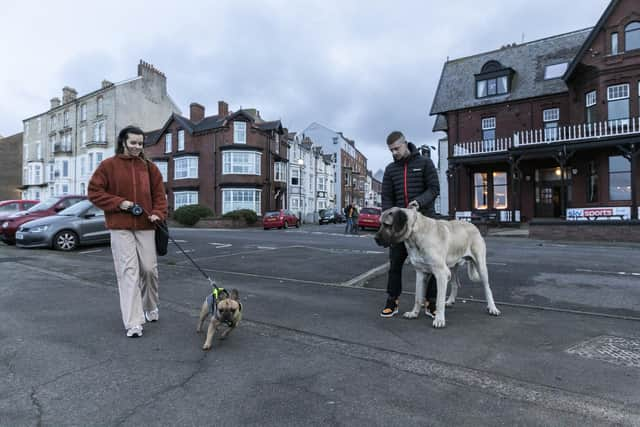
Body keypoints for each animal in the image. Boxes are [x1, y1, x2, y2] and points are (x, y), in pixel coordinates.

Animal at [372, 207, 502, 328]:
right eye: (380, 223)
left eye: (387, 224)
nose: (375, 238)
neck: (415, 234)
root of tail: (473, 225)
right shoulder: (421, 273)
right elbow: (418, 297)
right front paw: (414, 313)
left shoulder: (441, 274)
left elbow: (438, 300)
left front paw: (439, 319)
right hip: (452, 267)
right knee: (455, 284)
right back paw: (450, 301)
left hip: (480, 266)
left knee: (487, 288)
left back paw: (492, 308)